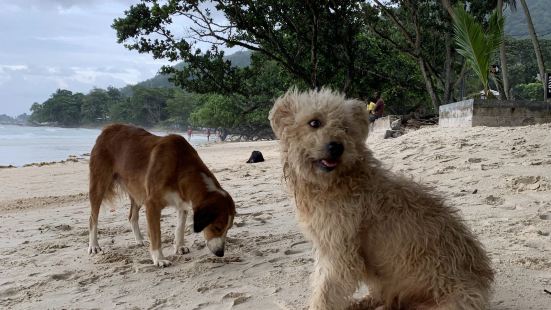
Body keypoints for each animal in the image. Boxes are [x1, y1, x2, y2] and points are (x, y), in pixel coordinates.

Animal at [87, 123, 236, 266]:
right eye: (217, 227)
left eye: (228, 228)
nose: (220, 253)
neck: (180, 166)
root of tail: (108, 128)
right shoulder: (152, 204)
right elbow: (156, 235)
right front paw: (159, 258)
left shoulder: (182, 203)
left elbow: (180, 228)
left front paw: (179, 246)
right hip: (99, 186)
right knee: (93, 218)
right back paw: (94, 246)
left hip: (138, 191)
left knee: (132, 217)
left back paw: (139, 240)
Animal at [270, 88, 494, 308]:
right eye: (314, 122)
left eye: (346, 127)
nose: (337, 147)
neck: (340, 181)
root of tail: (483, 281)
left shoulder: (339, 253)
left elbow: (324, 293)